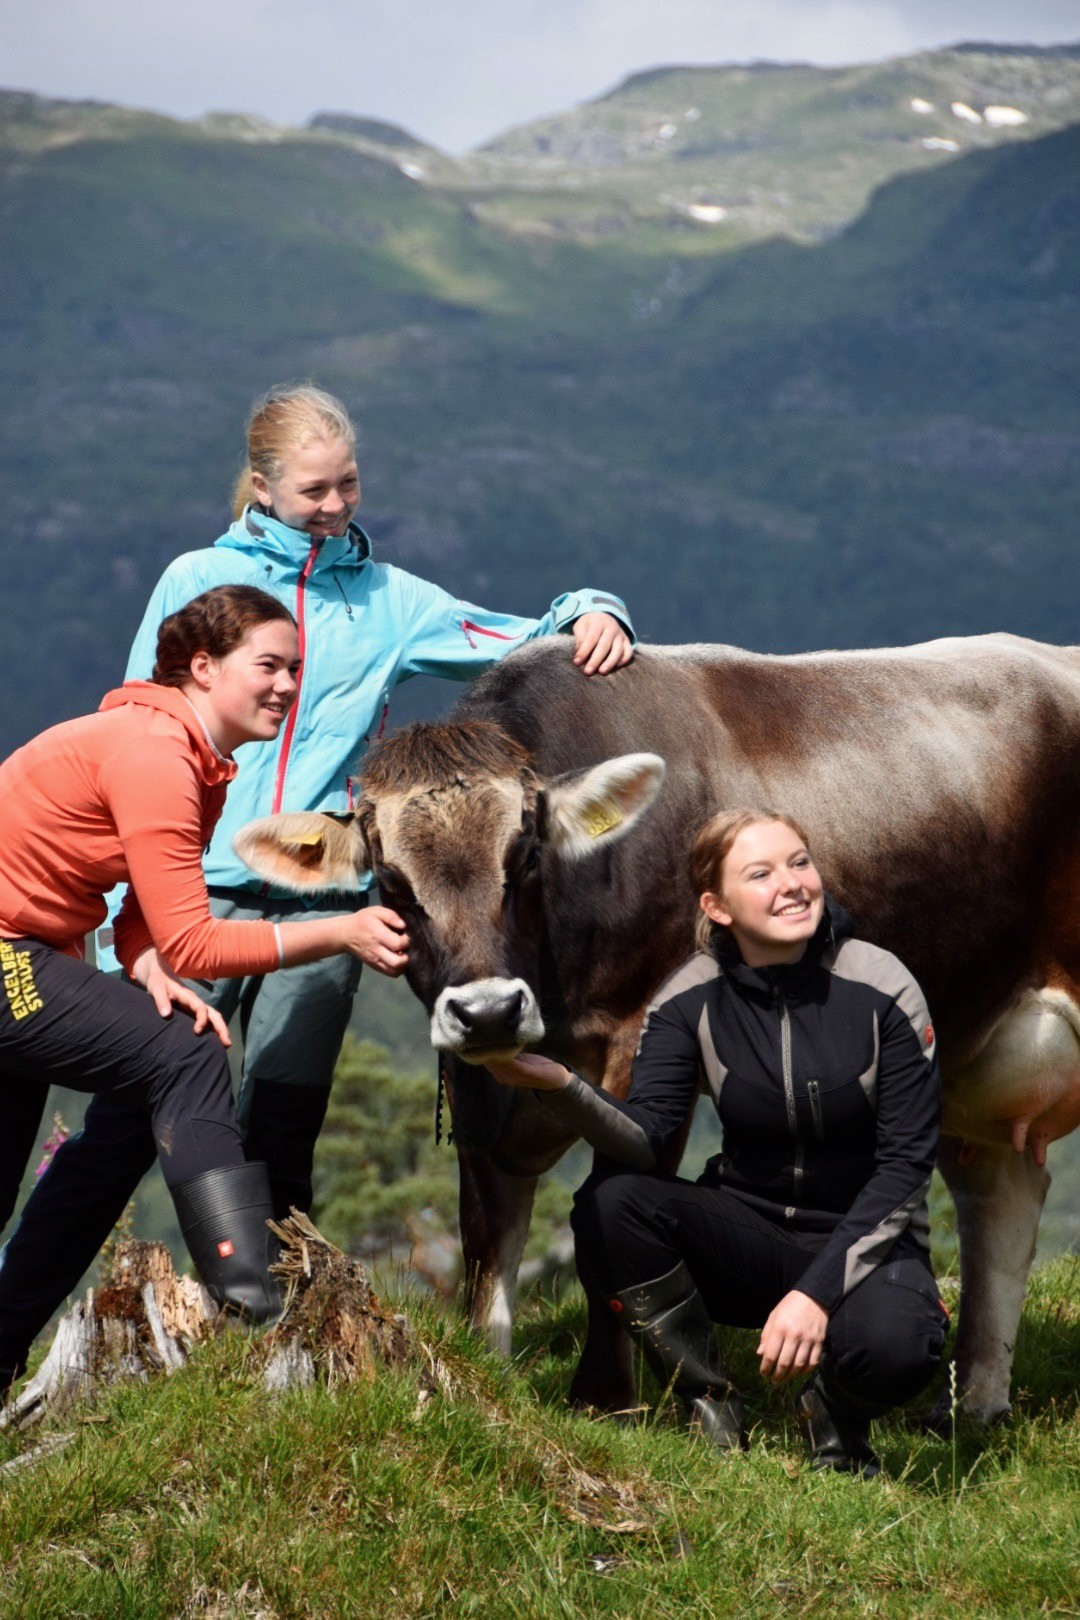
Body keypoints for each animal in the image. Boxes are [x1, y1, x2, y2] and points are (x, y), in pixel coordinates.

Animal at [235, 633, 1080, 1424]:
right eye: (389, 881)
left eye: (526, 856)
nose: (491, 1010)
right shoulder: (473, 1079)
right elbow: (487, 1236)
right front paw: (488, 1371)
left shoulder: (642, 1030)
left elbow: (608, 1205)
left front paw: (606, 1396)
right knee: (1001, 1192)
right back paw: (974, 1407)